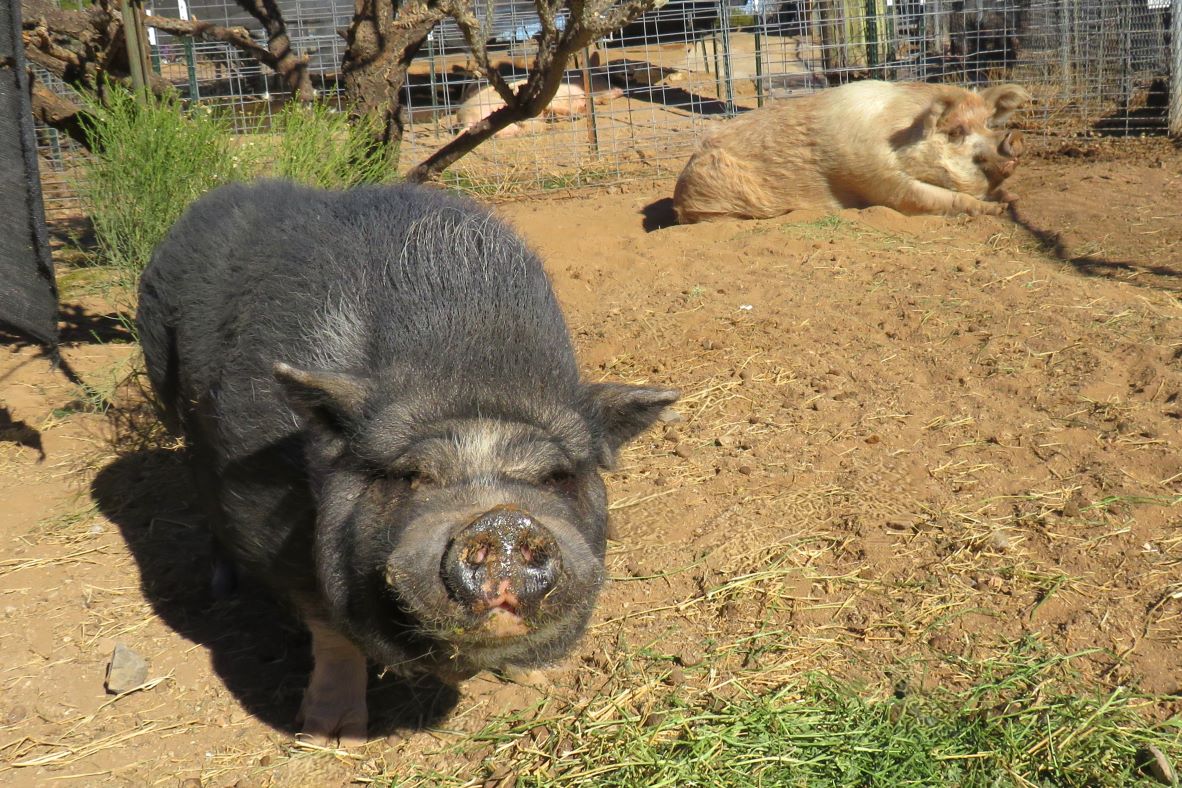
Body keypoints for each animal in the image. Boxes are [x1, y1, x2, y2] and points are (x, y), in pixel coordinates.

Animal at [135, 180, 679, 745]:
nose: (503, 522)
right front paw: (328, 737)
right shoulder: (264, 510)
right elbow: (326, 624)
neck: (472, 374)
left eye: (555, 476)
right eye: (412, 475)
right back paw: (223, 587)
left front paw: (539, 679)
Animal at [672, 80, 1029, 224]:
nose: (1013, 137)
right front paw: (999, 210)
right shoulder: (877, 181)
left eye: (987, 123)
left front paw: (1010, 199)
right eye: (955, 132)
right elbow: (934, 199)